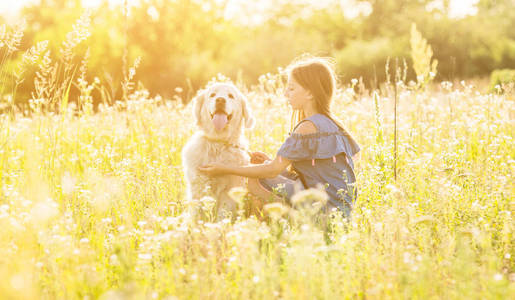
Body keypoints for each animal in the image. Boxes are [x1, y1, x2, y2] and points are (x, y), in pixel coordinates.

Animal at [182, 82, 255, 218]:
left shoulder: (229, 191)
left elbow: (222, 215)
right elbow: (198, 214)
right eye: (212, 95)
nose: (220, 100)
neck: (217, 143)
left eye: (231, 96)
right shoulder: (199, 186)